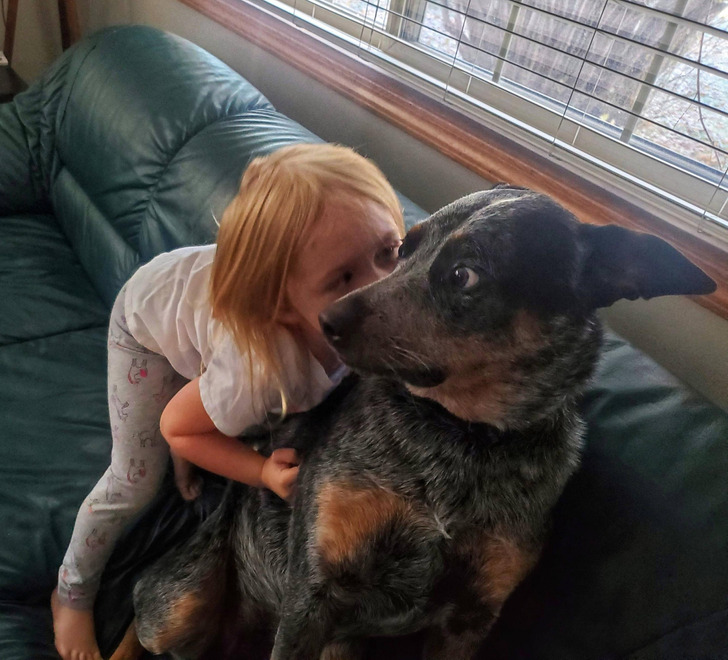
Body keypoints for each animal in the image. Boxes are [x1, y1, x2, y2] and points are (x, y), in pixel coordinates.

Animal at [114, 187, 716, 660]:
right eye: (405, 249)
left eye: (464, 274)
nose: (327, 320)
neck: (459, 438)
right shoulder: (313, 591)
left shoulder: (469, 620)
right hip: (180, 606)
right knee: (139, 621)